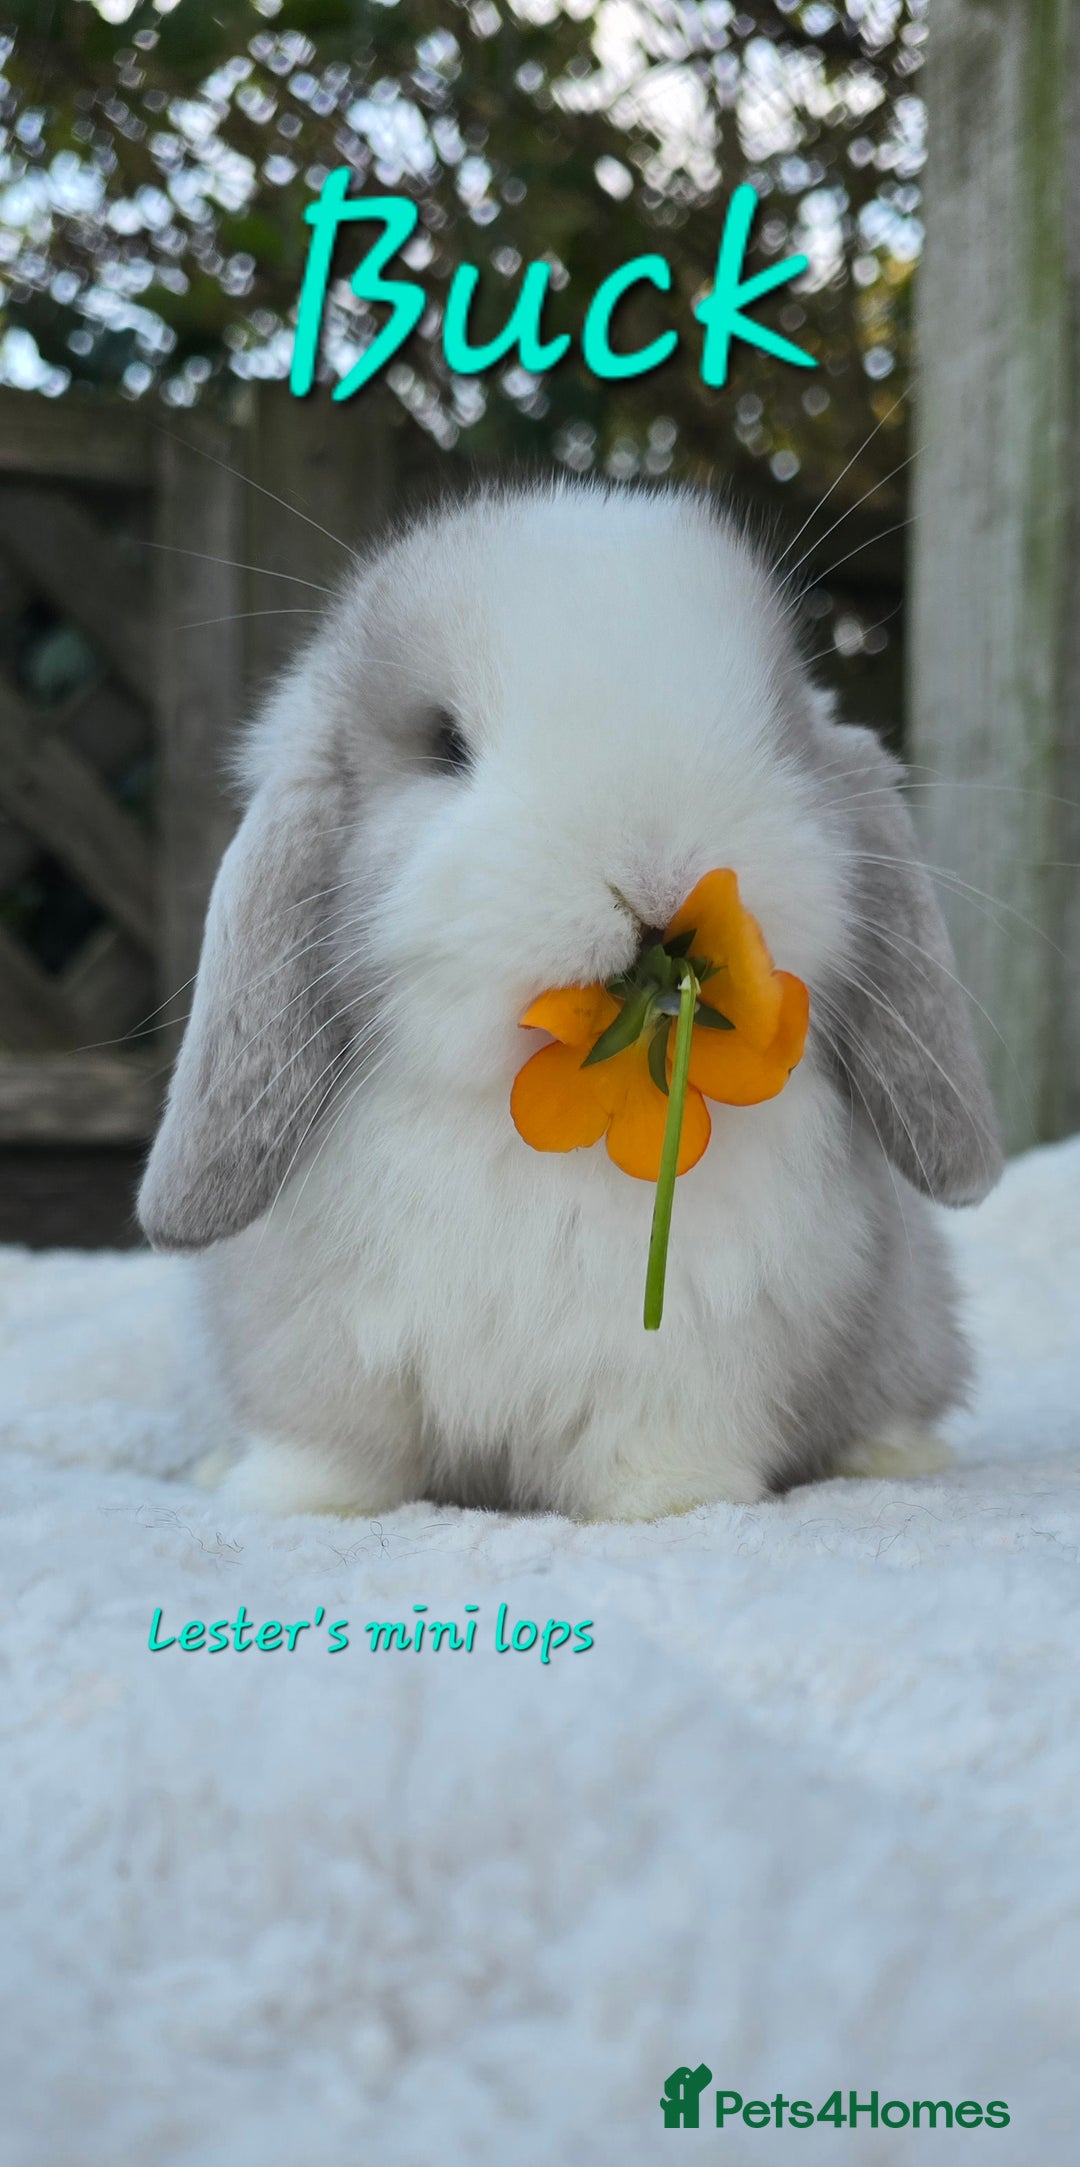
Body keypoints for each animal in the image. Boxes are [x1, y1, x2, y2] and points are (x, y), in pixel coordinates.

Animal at [138, 479, 1002, 1521]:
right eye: (445, 744)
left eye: (779, 730)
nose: (654, 866)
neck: (537, 1150)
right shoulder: (324, 1356)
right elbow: (335, 1452)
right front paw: (290, 1502)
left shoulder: (691, 1367)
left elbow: (659, 1450)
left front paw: (673, 1505)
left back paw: (897, 1459)